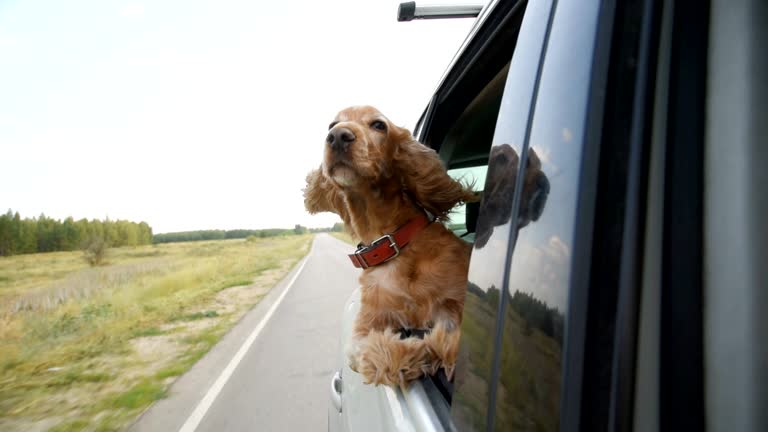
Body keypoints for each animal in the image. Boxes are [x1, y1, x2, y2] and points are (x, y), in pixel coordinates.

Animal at [302, 106, 474, 386]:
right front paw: (419, 352)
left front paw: (441, 347)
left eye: (378, 125)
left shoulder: (455, 298)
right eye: (331, 124)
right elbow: (361, 354)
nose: (337, 136)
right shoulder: (368, 320)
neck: (391, 242)